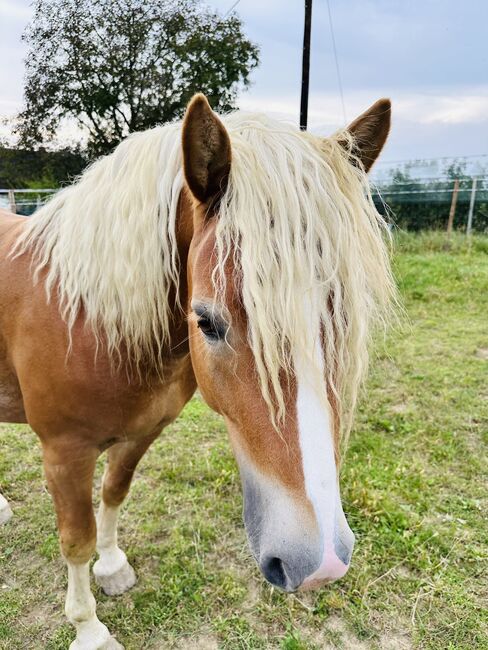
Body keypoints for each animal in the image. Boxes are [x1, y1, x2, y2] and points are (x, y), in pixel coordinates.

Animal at [0, 93, 392, 644]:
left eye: (345, 318)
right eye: (206, 321)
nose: (320, 564)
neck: (88, 318)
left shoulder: (142, 433)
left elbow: (113, 494)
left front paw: (112, 567)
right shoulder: (63, 453)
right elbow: (76, 539)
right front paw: (89, 629)